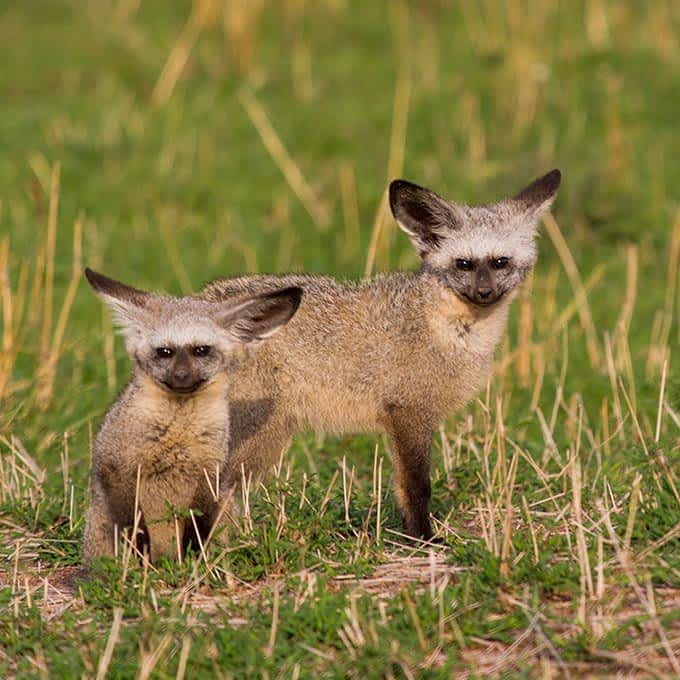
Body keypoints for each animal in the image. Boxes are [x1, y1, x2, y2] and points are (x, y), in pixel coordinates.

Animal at [82, 268, 300, 564]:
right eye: (165, 352)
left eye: (201, 350)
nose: (182, 376)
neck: (177, 436)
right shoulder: (118, 472)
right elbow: (135, 527)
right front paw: (148, 560)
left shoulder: (209, 477)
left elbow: (196, 526)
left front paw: (191, 560)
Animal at [203, 167, 564, 540]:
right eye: (464, 264)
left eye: (500, 262)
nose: (484, 292)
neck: (449, 331)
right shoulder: (409, 414)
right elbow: (416, 487)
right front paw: (423, 538)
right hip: (259, 437)